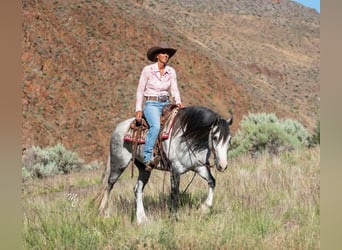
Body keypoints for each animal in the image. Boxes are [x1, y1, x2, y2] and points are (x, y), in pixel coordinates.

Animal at [93, 105, 232, 225]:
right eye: (215, 137)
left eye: (229, 139)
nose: (223, 165)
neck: (187, 138)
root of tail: (118, 128)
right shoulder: (175, 170)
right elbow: (175, 193)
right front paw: (174, 217)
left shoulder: (200, 167)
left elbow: (212, 181)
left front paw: (205, 208)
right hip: (119, 163)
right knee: (109, 185)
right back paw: (103, 212)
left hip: (144, 168)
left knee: (137, 189)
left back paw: (142, 219)